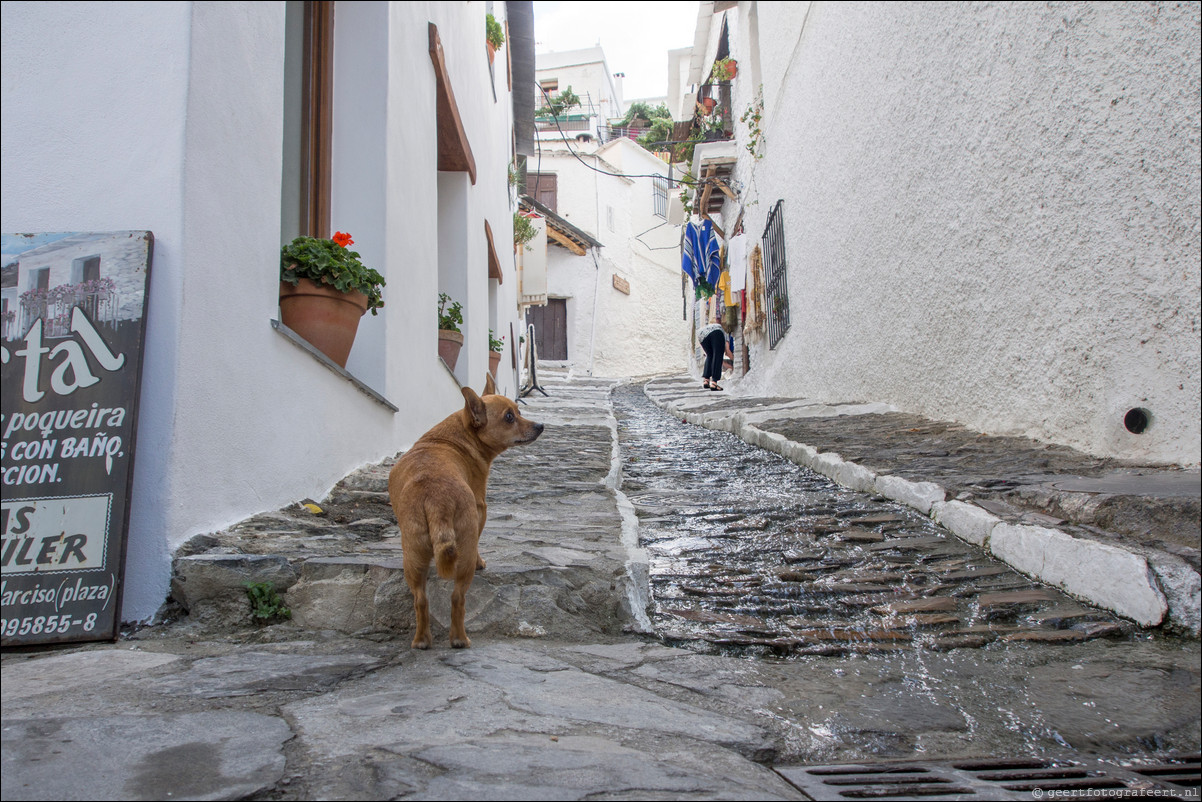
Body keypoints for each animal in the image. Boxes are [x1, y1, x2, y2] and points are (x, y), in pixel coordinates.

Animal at [387, 372, 543, 649]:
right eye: (509, 417)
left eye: (518, 412)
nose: (540, 426)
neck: (458, 435)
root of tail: (435, 498)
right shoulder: (481, 509)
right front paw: (482, 562)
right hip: (463, 556)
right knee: (457, 598)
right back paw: (460, 639)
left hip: (413, 555)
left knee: (420, 599)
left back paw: (422, 640)